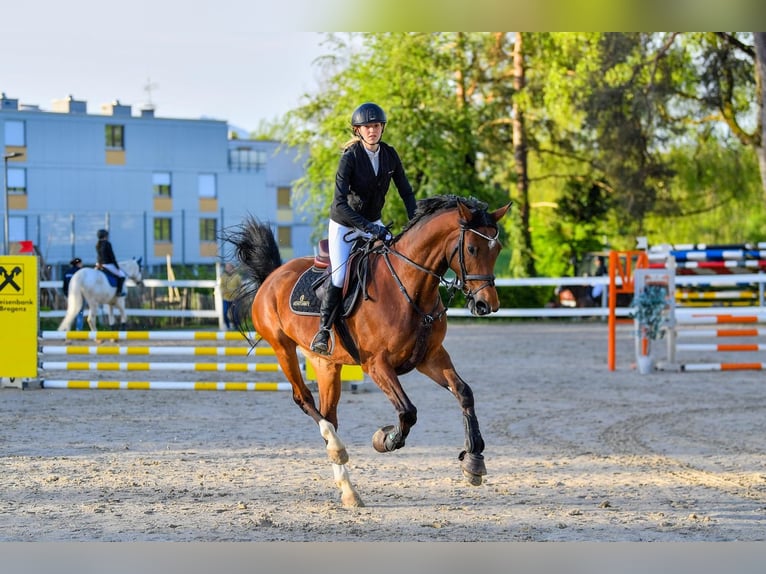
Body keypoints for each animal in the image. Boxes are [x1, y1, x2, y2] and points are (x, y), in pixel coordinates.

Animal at [228, 197, 512, 508]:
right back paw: (337, 449)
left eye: (497, 249)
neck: (409, 286)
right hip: (283, 348)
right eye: (471, 248)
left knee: (329, 413)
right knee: (304, 400)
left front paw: (473, 461)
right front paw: (385, 439)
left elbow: (464, 393)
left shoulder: (431, 356)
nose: (486, 305)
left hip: (325, 364)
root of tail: (273, 275)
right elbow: (407, 412)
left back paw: (348, 489)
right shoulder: (377, 364)